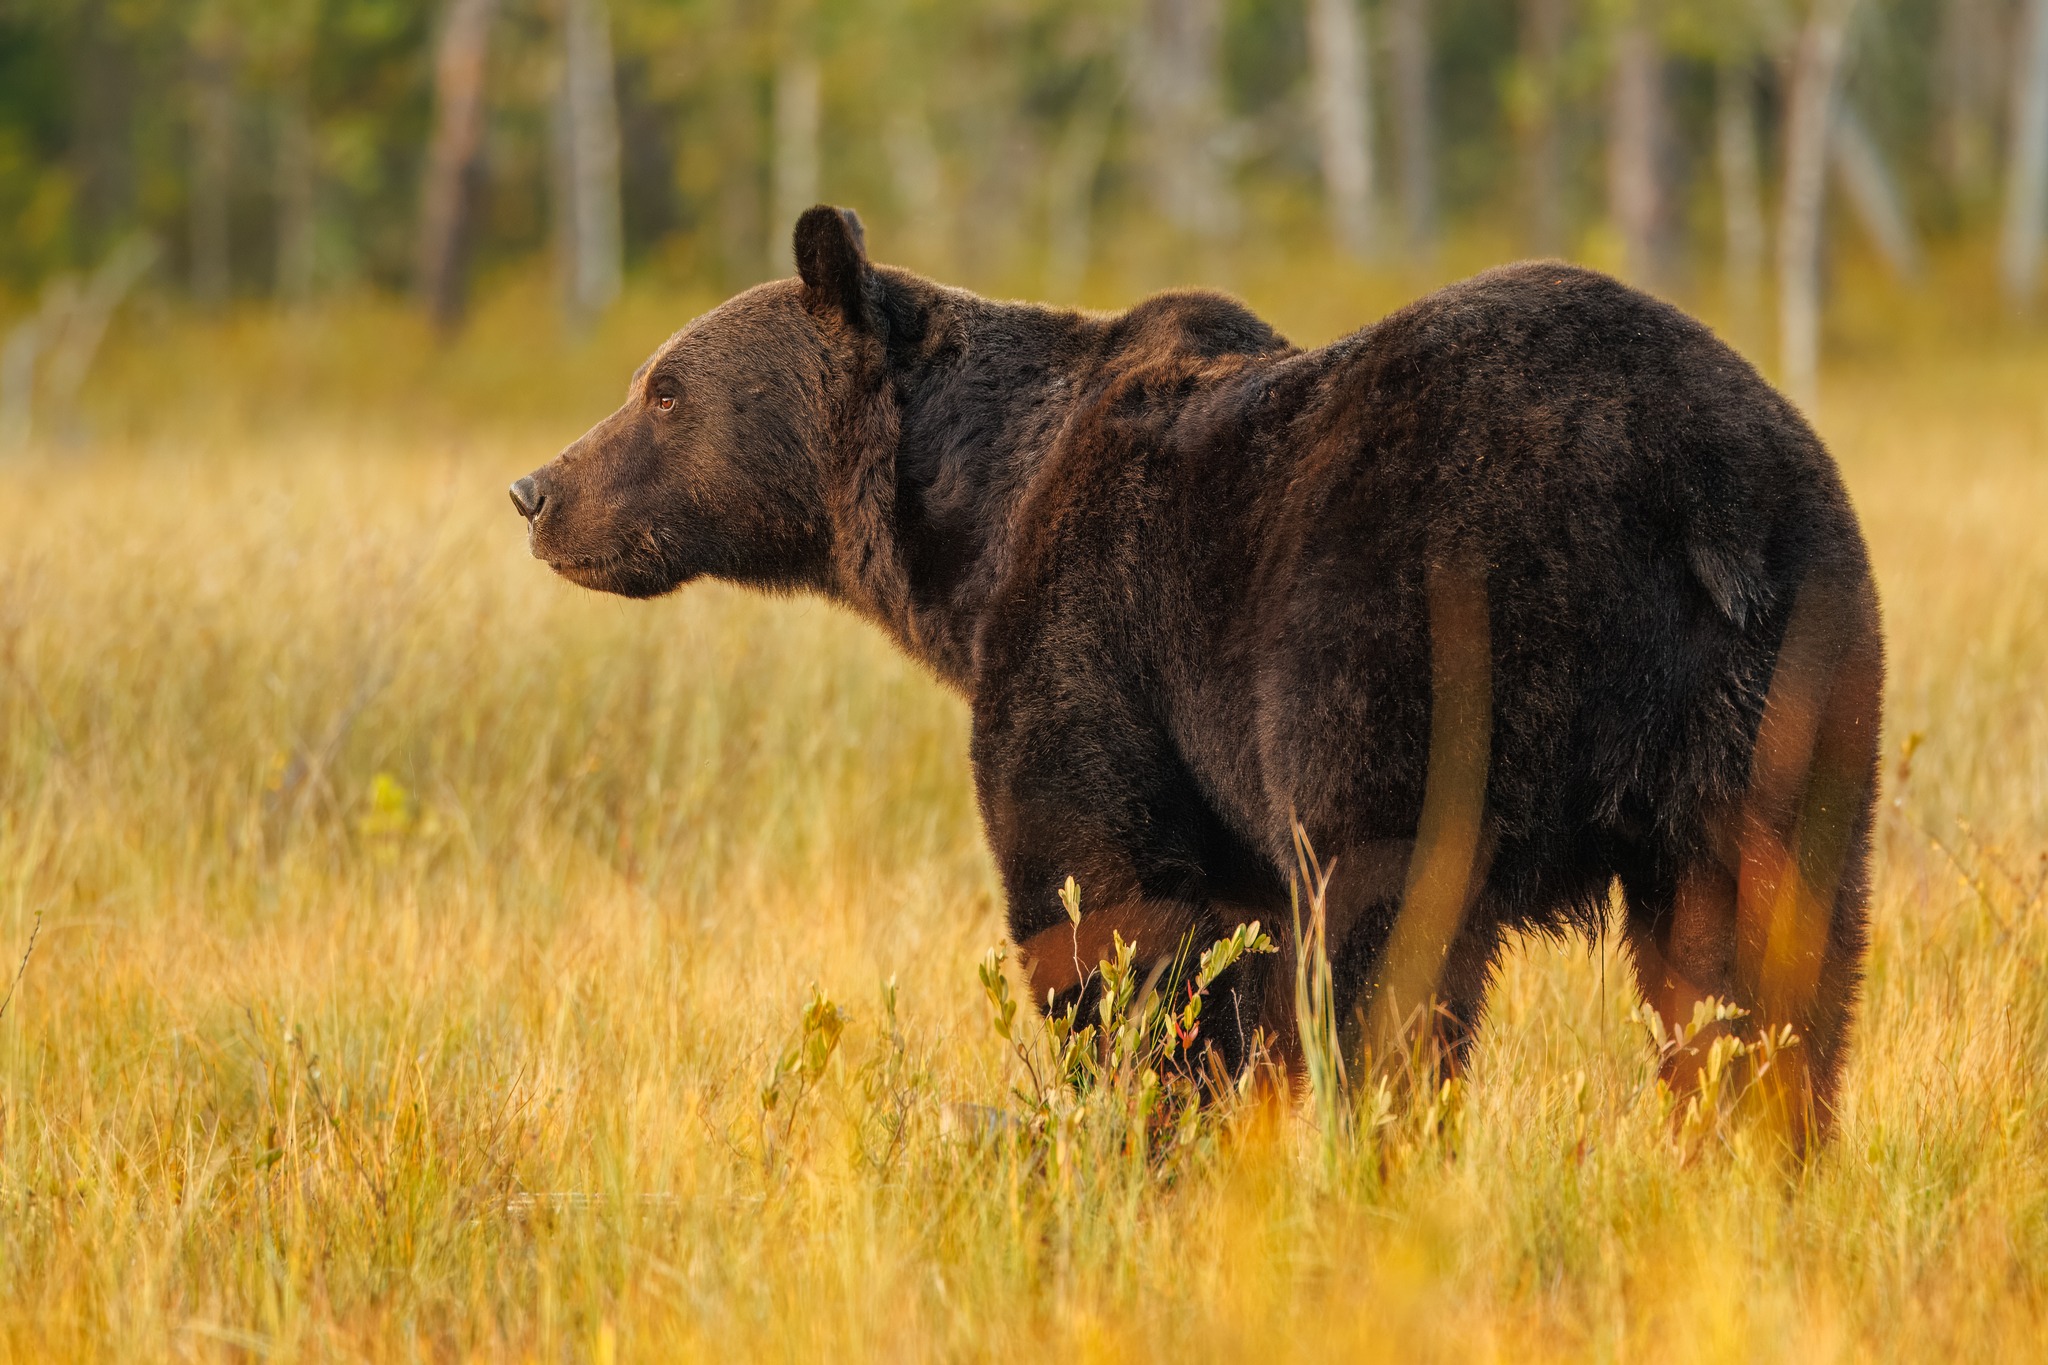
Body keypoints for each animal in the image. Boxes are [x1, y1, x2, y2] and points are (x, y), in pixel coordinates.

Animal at [516, 205, 1884, 1146]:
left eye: (663, 391)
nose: (538, 491)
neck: (974, 530)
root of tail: (1675, 484)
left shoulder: (1095, 642)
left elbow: (1110, 914)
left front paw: (1147, 1123)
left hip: (1410, 646)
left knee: (1392, 946)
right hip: (1782, 672)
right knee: (1759, 951)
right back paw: (1754, 1148)